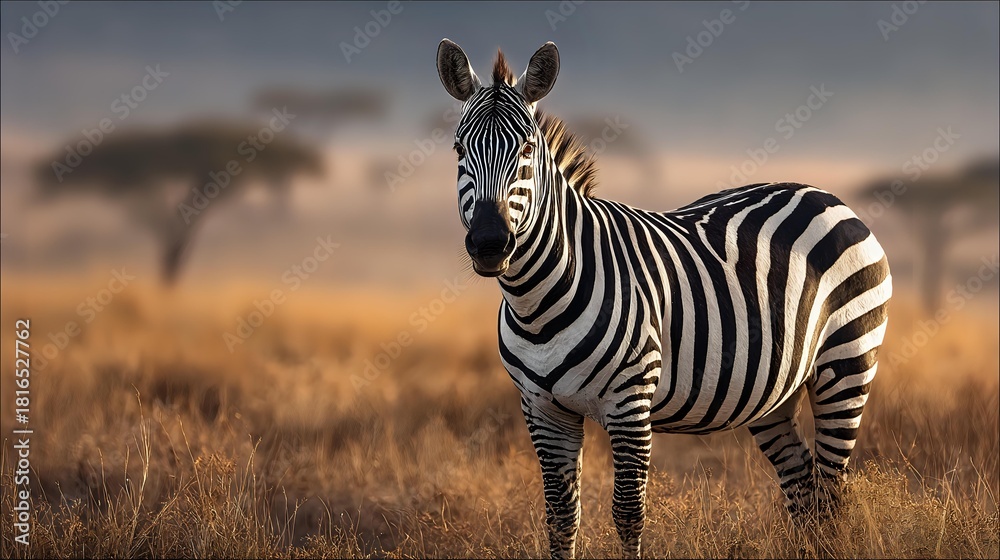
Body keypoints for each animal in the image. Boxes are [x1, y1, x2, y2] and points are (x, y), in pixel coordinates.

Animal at [435, 39, 892, 559]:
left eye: (528, 149)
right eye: (458, 150)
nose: (490, 243)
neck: (537, 305)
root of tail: (825, 194)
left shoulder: (630, 402)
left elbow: (628, 512)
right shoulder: (542, 409)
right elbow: (560, 516)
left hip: (848, 363)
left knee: (832, 489)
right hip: (777, 393)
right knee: (803, 485)